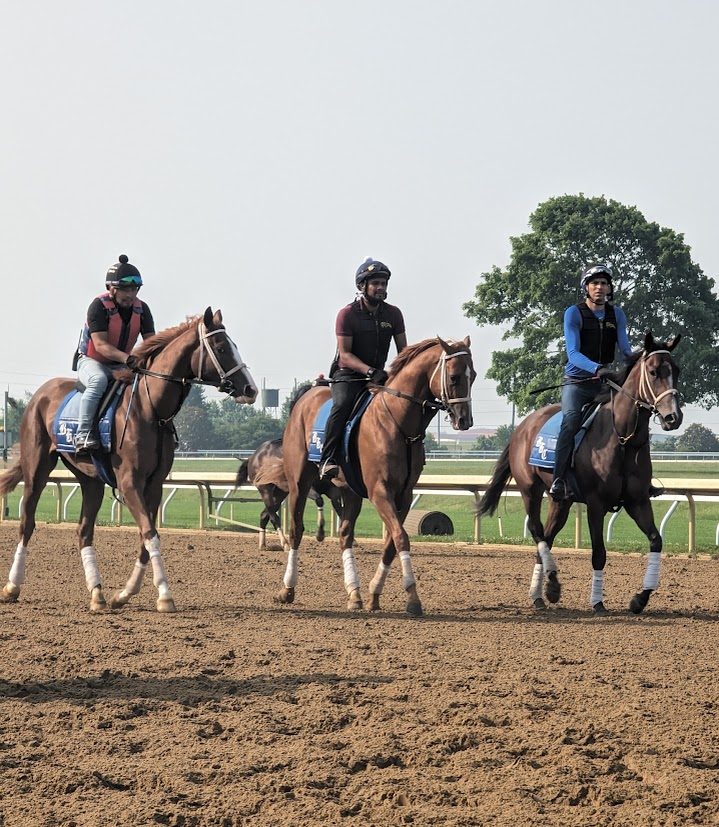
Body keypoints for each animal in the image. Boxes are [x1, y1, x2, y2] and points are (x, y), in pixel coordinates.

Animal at [0, 310, 258, 616]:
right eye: (220, 348)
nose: (250, 389)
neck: (151, 409)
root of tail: (41, 393)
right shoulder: (129, 482)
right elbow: (149, 532)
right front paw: (165, 595)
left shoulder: (154, 485)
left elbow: (148, 537)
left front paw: (124, 594)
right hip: (37, 468)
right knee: (27, 522)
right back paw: (13, 586)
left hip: (90, 479)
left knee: (84, 531)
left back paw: (97, 593)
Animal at [272, 336, 476, 616]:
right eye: (454, 377)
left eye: (473, 375)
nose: (465, 420)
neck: (399, 425)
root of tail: (305, 397)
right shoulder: (380, 492)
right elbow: (401, 538)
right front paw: (413, 597)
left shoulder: (403, 496)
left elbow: (391, 543)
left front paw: (373, 595)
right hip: (299, 482)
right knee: (296, 529)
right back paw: (287, 589)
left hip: (350, 491)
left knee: (345, 535)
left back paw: (353, 592)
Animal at [480, 332, 684, 616]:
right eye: (654, 372)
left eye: (676, 370)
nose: (673, 417)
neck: (623, 438)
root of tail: (522, 426)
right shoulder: (596, 504)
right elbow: (598, 553)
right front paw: (598, 602)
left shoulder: (638, 501)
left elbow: (656, 541)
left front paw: (640, 599)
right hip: (530, 489)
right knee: (537, 530)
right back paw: (550, 587)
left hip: (560, 500)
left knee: (547, 536)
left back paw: (541, 593)